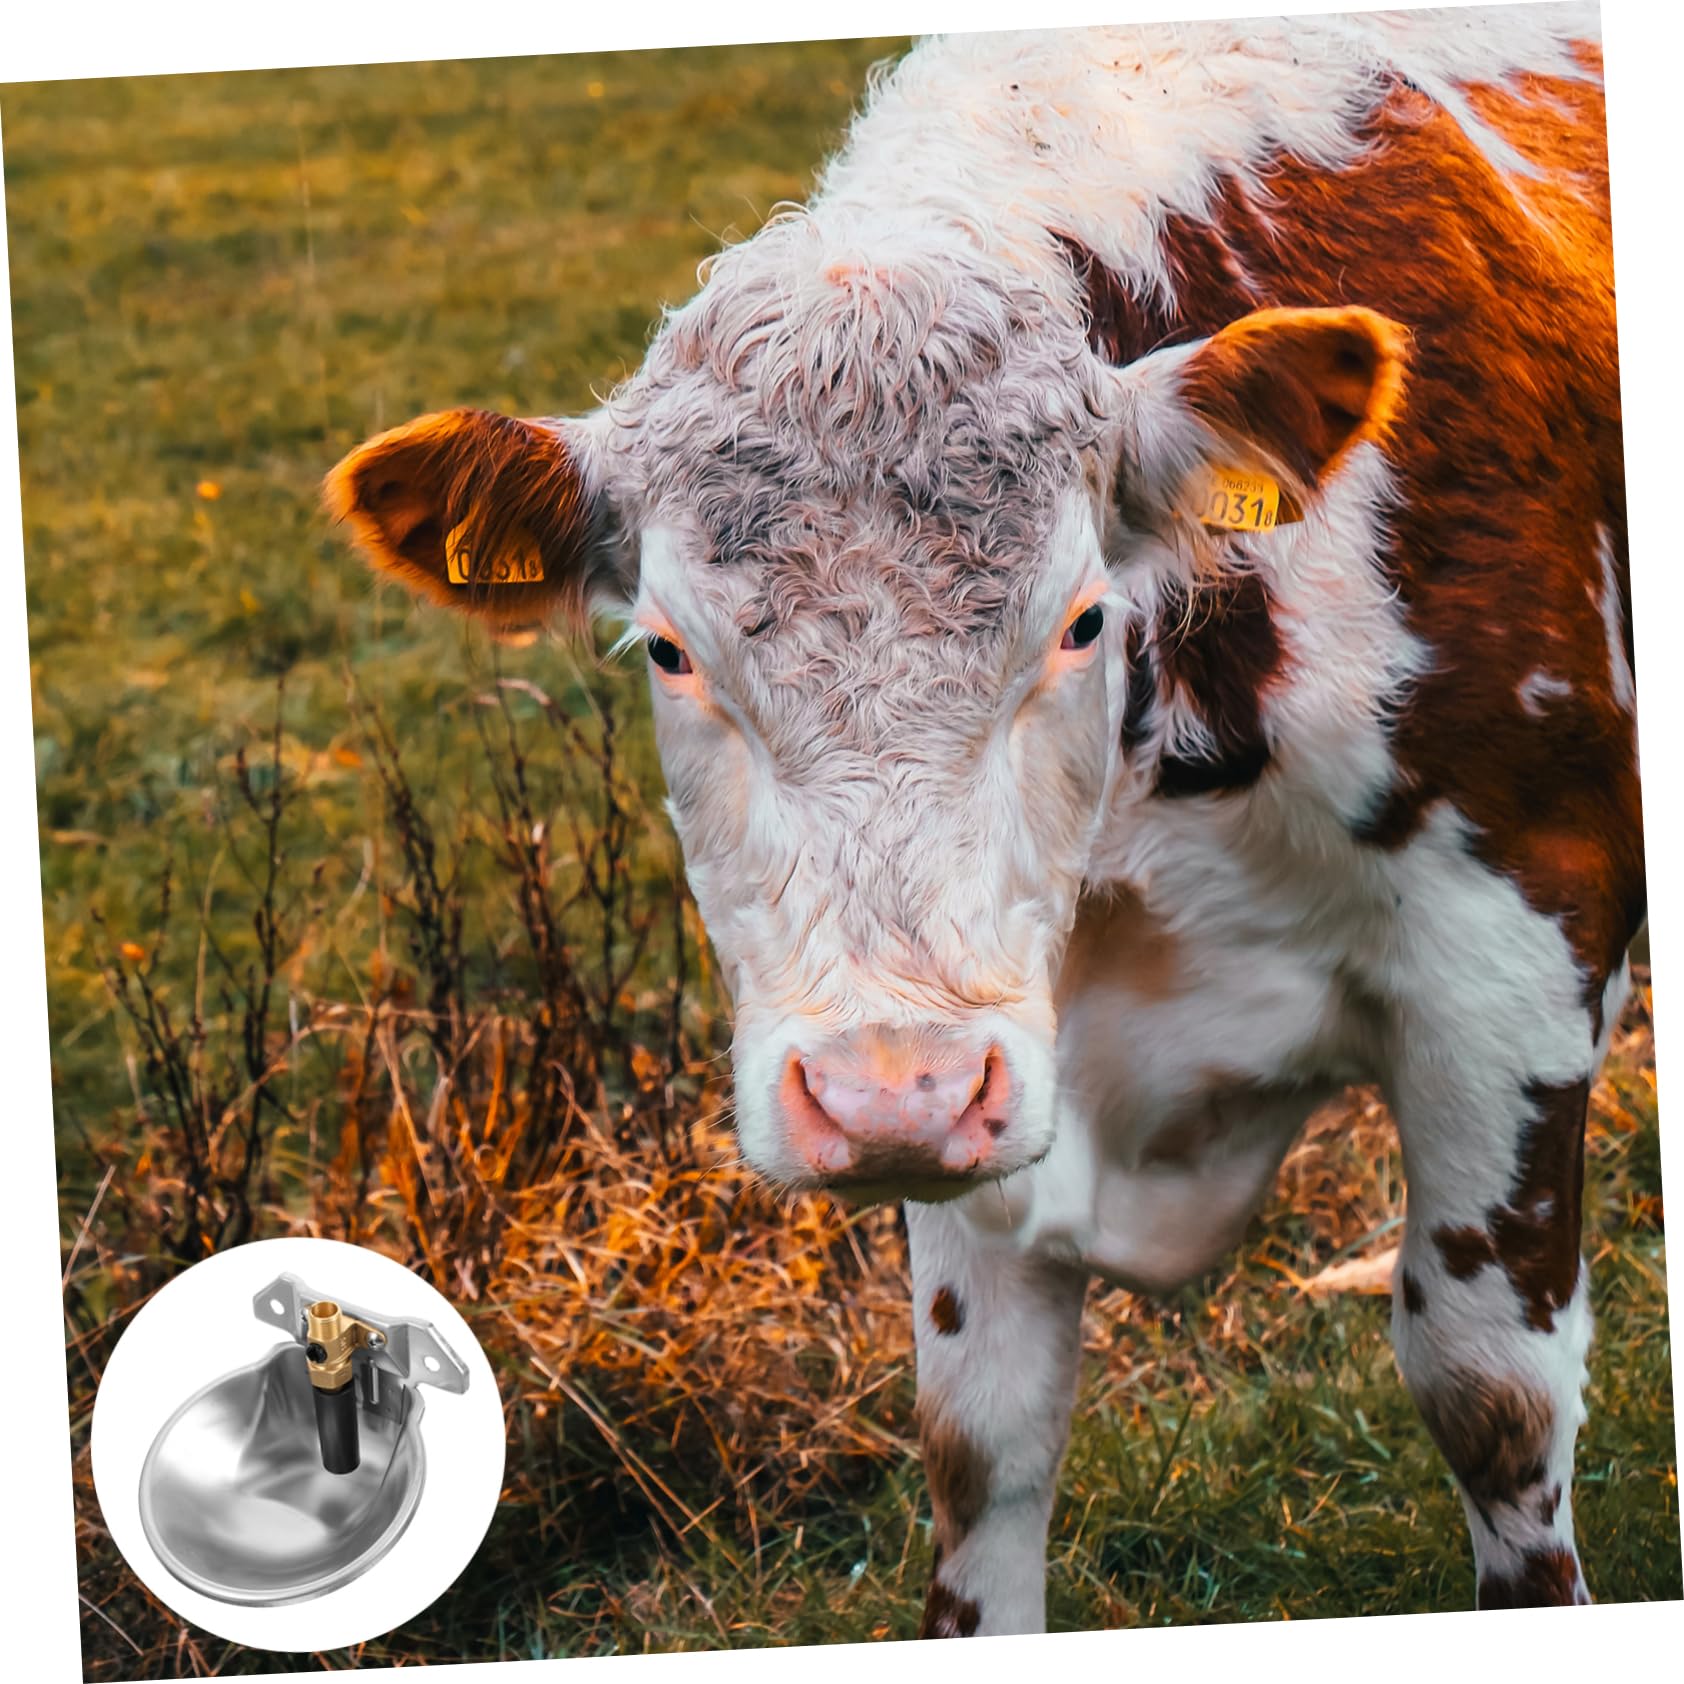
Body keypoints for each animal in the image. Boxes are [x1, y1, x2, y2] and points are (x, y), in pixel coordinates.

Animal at [326, 3, 1641, 1631]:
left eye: (1082, 619)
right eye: (670, 651)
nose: (889, 1096)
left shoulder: (1512, 954)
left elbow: (1489, 1391)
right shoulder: (985, 1081)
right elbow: (980, 1441)